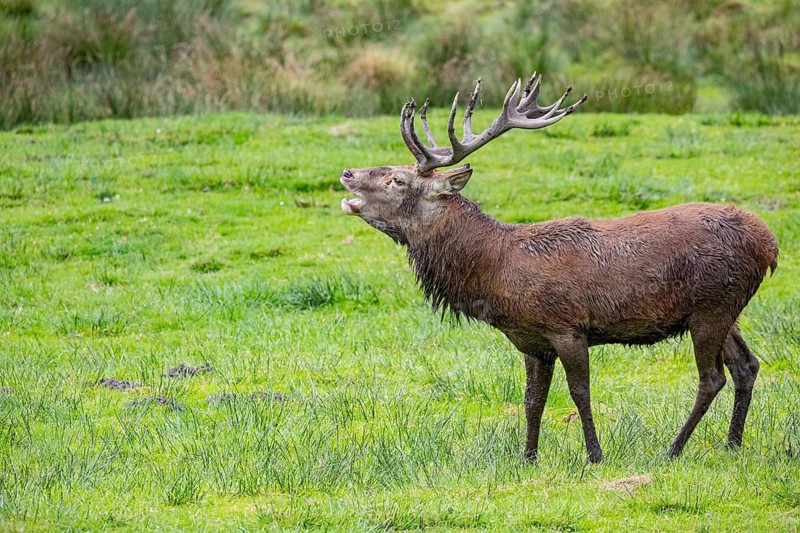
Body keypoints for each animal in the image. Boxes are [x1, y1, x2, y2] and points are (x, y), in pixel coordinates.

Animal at [339, 72, 778, 463]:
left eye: (397, 180)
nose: (347, 172)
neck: (496, 271)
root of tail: (770, 245)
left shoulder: (567, 325)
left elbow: (579, 391)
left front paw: (594, 454)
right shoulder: (531, 340)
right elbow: (533, 400)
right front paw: (528, 457)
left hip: (712, 307)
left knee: (712, 377)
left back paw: (674, 449)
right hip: (723, 309)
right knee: (747, 365)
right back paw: (732, 443)